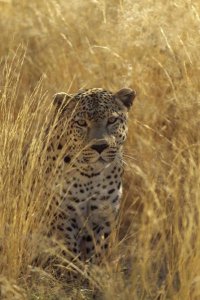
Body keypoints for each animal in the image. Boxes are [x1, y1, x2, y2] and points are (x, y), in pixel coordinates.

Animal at [45, 87, 136, 268]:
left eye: (112, 120)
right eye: (81, 123)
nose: (100, 146)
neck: (91, 176)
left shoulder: (104, 214)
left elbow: (98, 250)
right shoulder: (62, 215)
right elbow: (69, 251)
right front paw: (73, 271)